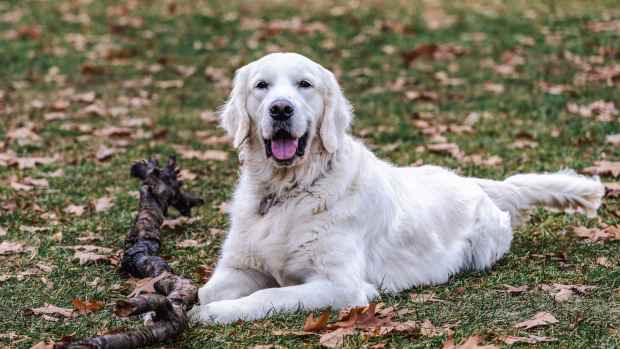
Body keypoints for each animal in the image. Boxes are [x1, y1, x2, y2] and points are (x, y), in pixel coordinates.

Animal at [188, 52, 600, 324]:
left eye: (305, 84)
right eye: (261, 86)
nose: (280, 109)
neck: (287, 191)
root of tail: (471, 180)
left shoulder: (341, 286)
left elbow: (268, 294)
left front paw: (215, 313)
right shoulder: (239, 265)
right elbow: (205, 289)